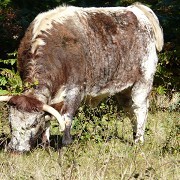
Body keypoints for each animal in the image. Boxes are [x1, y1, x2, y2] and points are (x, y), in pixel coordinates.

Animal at [0, 2, 163, 152]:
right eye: (10, 123)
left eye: (33, 124)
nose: (15, 149)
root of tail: (135, 8)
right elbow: (47, 119)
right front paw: (44, 145)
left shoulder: (75, 90)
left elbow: (66, 119)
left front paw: (66, 144)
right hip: (124, 90)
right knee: (130, 110)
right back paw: (134, 136)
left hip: (143, 82)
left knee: (140, 109)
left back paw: (139, 141)